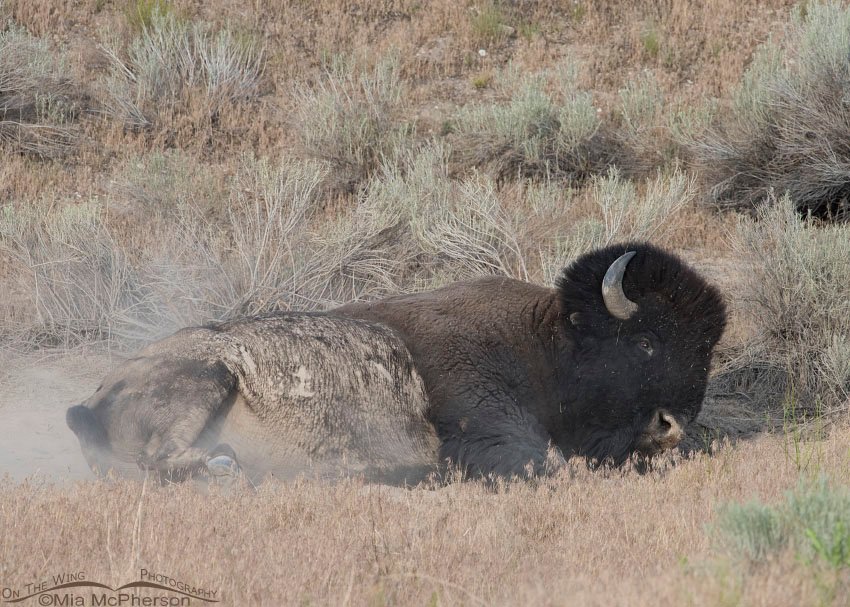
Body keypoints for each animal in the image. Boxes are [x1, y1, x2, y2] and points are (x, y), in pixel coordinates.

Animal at [67, 242, 726, 484]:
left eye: (707, 347)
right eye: (646, 342)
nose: (674, 425)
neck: (544, 342)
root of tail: (95, 394)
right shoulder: (491, 433)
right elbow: (553, 463)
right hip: (208, 377)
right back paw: (228, 466)